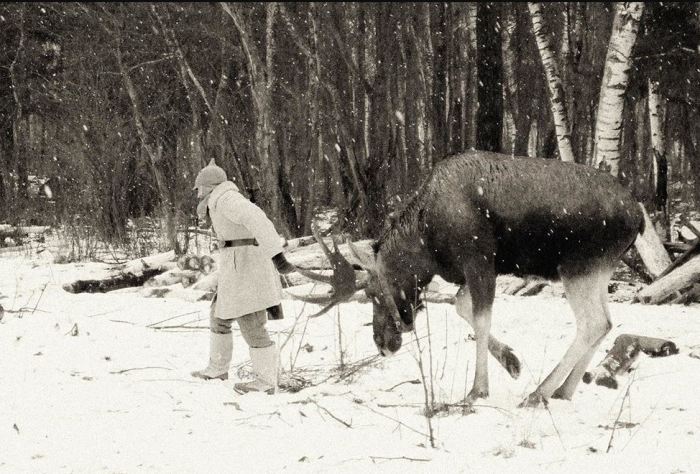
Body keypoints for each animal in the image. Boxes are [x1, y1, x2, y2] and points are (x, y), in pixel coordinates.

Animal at [298, 151, 644, 408]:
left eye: (372, 293)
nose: (382, 343)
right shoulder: (474, 270)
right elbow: (460, 306)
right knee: (607, 322)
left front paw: (477, 390)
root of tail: (639, 217)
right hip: (600, 270)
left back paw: (539, 393)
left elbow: (480, 318)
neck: (428, 246)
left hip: (577, 267)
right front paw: (512, 361)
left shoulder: (479, 261)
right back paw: (563, 390)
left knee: (592, 323)